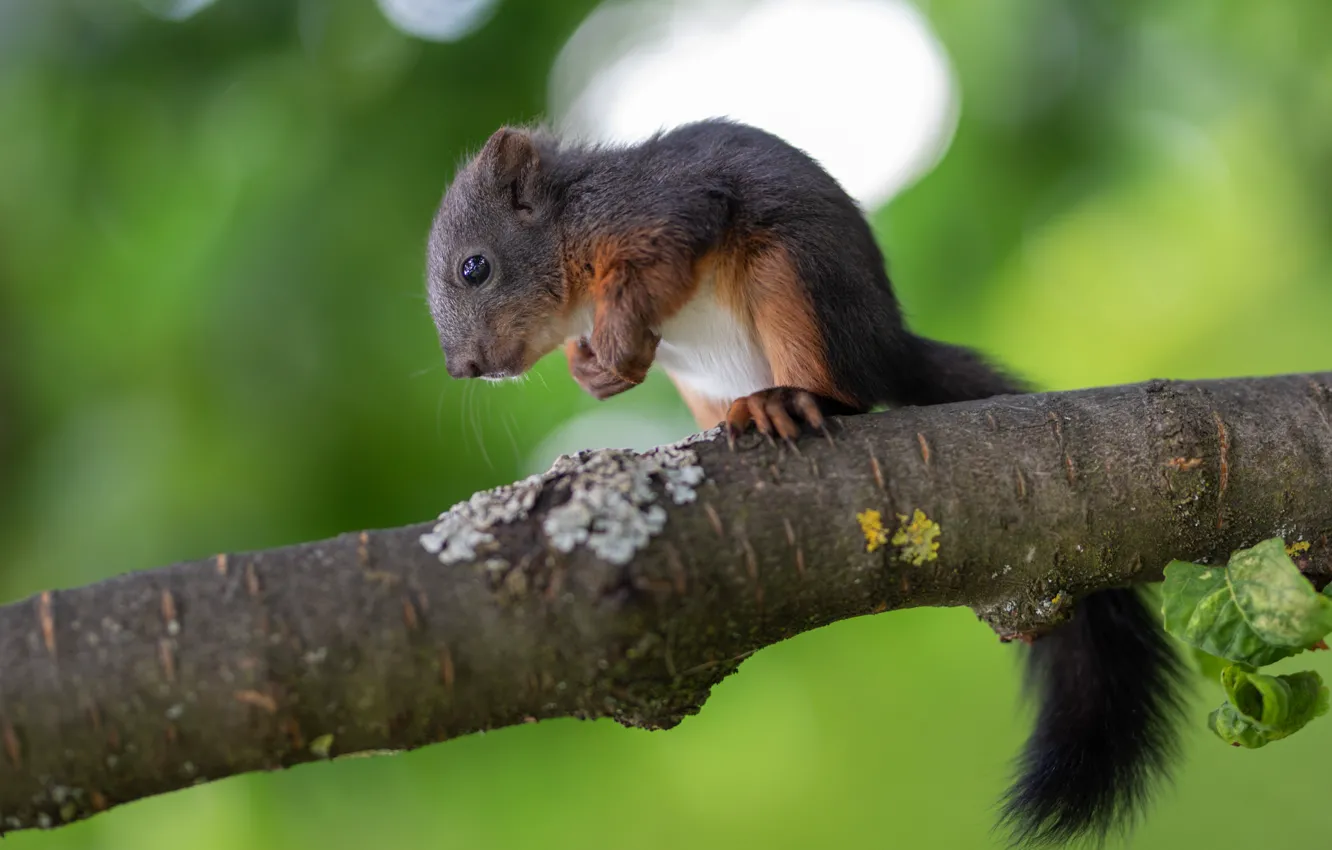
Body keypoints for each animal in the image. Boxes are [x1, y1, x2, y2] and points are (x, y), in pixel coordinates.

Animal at [424, 118, 1188, 847]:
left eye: (475, 267)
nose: (463, 368)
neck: (570, 238)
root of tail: (887, 346)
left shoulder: (661, 209)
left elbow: (660, 263)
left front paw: (614, 346)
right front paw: (590, 367)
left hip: (790, 280)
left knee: (848, 393)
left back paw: (788, 402)